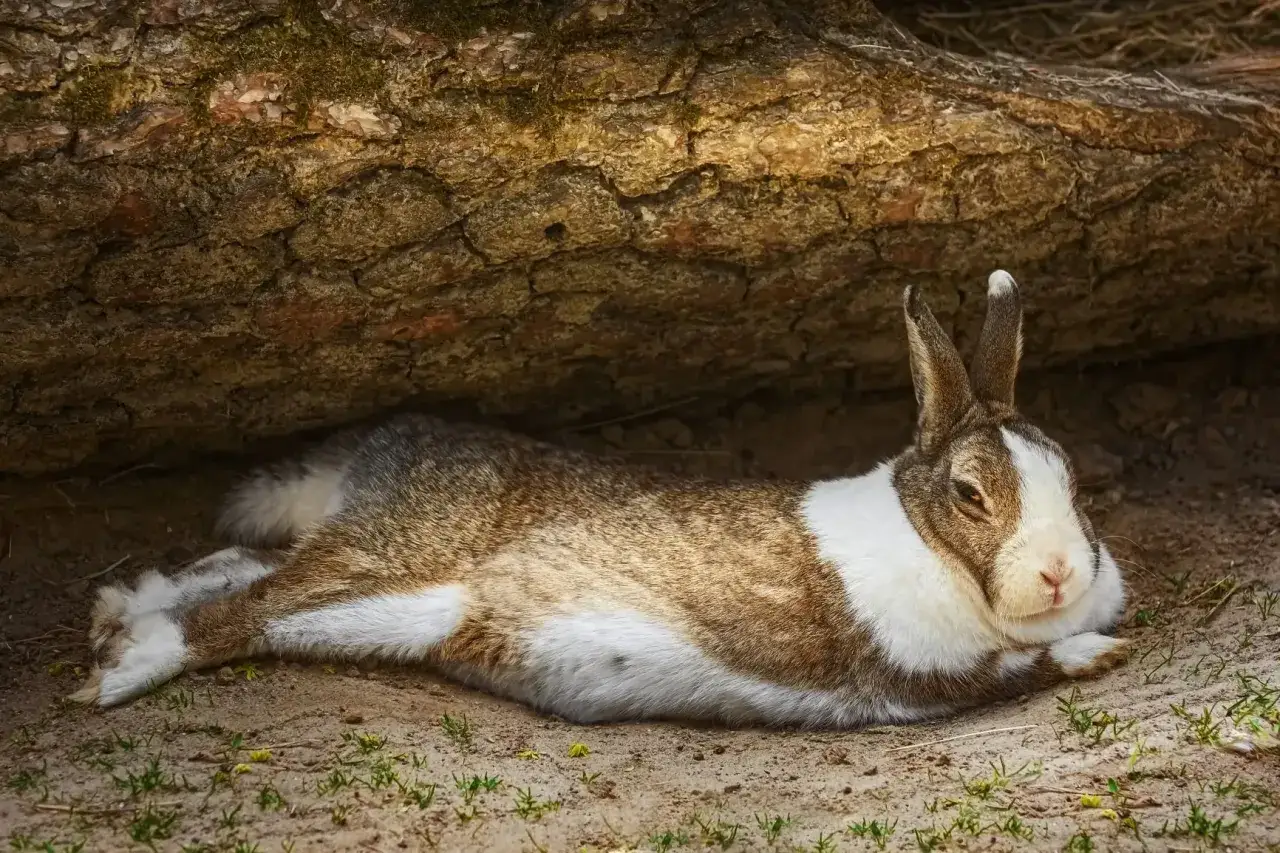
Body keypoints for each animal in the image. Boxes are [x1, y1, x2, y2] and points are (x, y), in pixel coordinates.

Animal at [71, 270, 1130, 728]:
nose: (1060, 573)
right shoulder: (915, 675)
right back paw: (116, 672)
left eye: (1072, 475)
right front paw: (1098, 651)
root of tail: (382, 450)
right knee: (243, 611)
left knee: (242, 568)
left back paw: (114, 611)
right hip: (392, 578)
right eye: (969, 492)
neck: (930, 546)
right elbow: (1014, 671)